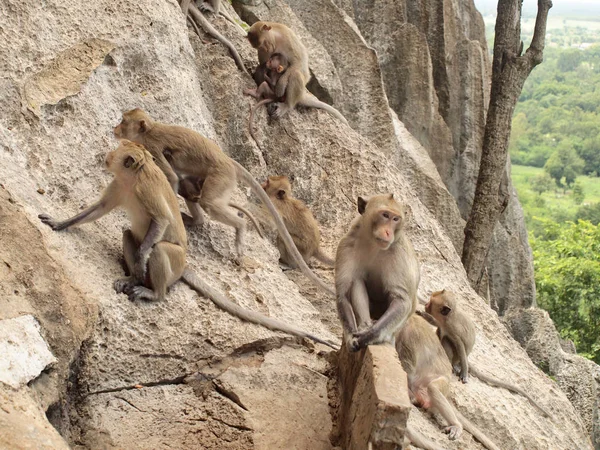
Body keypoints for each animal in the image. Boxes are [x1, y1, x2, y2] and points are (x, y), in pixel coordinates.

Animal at [39, 139, 340, 350]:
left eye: (118, 153)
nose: (108, 156)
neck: (132, 179)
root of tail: (184, 268)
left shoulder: (145, 189)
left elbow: (160, 221)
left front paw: (143, 257)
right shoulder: (119, 186)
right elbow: (97, 210)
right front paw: (59, 223)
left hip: (175, 262)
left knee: (160, 249)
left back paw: (153, 292)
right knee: (128, 234)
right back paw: (133, 278)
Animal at [115, 109, 336, 298]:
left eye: (124, 121)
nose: (116, 128)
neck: (148, 131)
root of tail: (228, 160)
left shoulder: (153, 146)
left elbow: (171, 178)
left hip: (222, 177)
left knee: (209, 202)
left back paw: (239, 227)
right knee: (191, 189)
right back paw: (197, 220)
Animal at [336, 193, 420, 352]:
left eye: (395, 219)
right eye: (385, 215)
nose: (388, 232)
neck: (373, 244)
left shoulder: (398, 253)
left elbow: (401, 299)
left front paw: (370, 335)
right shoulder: (346, 245)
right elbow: (343, 294)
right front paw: (351, 337)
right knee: (356, 280)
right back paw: (365, 324)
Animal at [398, 312, 502, 450]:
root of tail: (447, 394)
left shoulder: (408, 336)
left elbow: (407, 365)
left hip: (442, 386)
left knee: (433, 389)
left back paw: (457, 425)